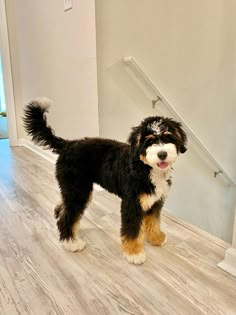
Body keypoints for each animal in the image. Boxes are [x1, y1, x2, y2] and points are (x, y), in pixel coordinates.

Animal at [23, 98, 186, 264]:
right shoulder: (132, 203)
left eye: (168, 137)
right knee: (68, 216)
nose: (162, 154)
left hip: (73, 189)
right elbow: (132, 230)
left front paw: (156, 238)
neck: (144, 167)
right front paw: (134, 253)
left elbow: (154, 220)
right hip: (78, 190)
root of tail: (68, 144)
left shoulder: (155, 200)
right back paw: (71, 242)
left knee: (64, 207)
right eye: (149, 141)